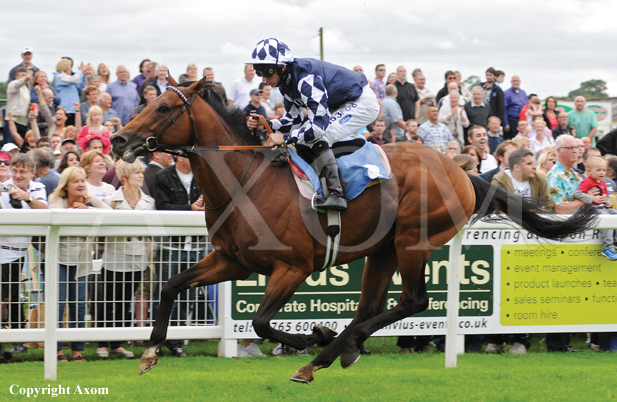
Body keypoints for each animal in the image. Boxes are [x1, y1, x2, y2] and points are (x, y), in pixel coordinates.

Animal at [112, 78, 596, 384]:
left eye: (164, 108)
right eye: (146, 101)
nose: (119, 140)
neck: (246, 181)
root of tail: (463, 170)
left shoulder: (293, 267)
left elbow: (262, 321)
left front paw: (314, 336)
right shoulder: (233, 260)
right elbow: (172, 285)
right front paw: (150, 352)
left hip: (412, 240)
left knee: (413, 301)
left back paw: (329, 350)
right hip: (383, 248)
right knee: (371, 306)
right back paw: (337, 351)